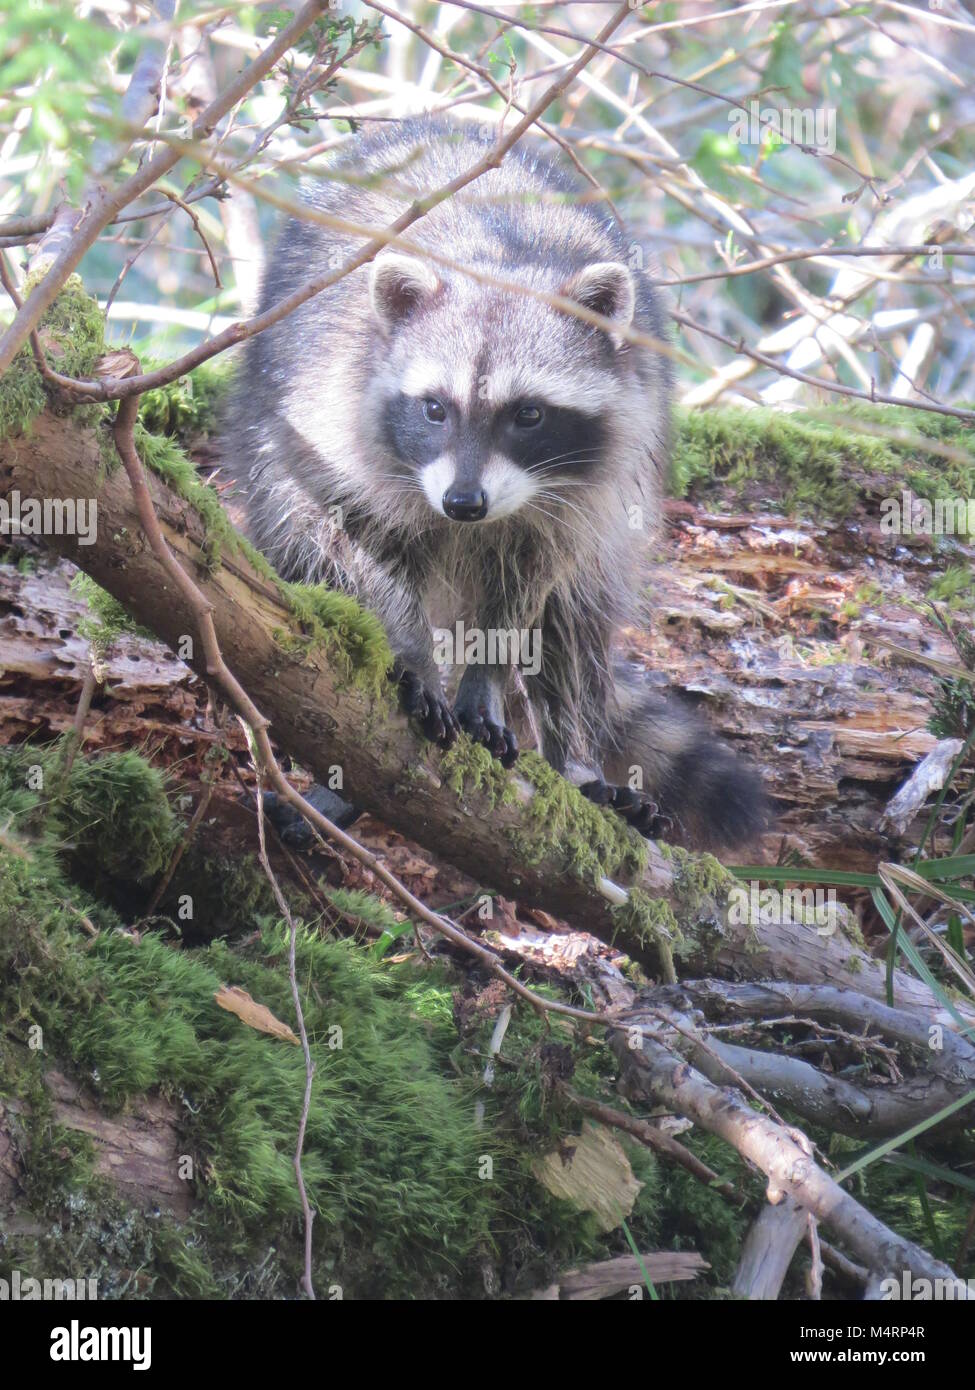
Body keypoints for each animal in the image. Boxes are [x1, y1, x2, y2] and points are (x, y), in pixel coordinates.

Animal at [222, 117, 767, 850]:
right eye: (435, 408)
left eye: (527, 415)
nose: (463, 504)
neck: (498, 263)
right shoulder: (328, 421)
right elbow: (348, 545)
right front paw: (409, 650)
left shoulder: (580, 494)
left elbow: (528, 590)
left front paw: (487, 679)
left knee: (576, 626)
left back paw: (577, 761)